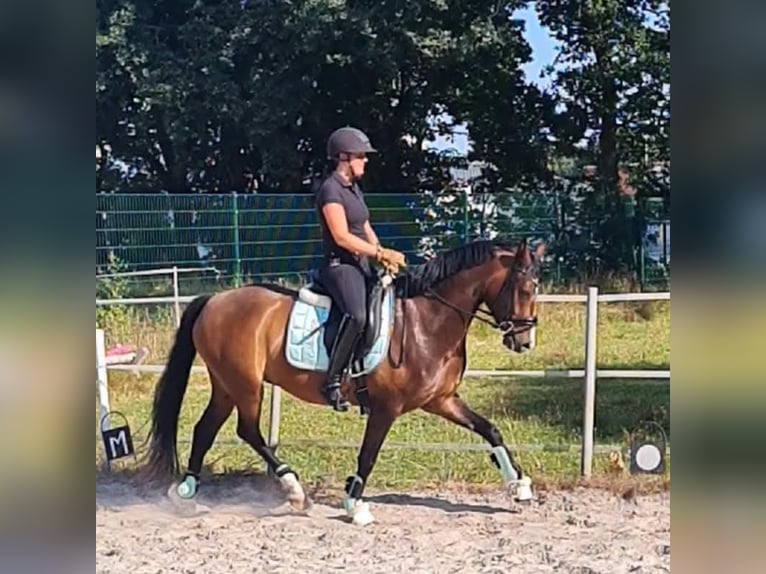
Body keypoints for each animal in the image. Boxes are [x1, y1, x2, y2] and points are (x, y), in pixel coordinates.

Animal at [142, 237, 544, 528]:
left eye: (536, 288)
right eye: (525, 289)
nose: (524, 342)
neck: (427, 321)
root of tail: (214, 300)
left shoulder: (441, 400)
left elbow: (490, 430)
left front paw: (520, 487)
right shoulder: (386, 408)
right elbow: (368, 454)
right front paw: (355, 505)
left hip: (226, 384)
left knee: (205, 429)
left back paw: (185, 492)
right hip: (245, 384)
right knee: (247, 430)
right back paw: (294, 491)